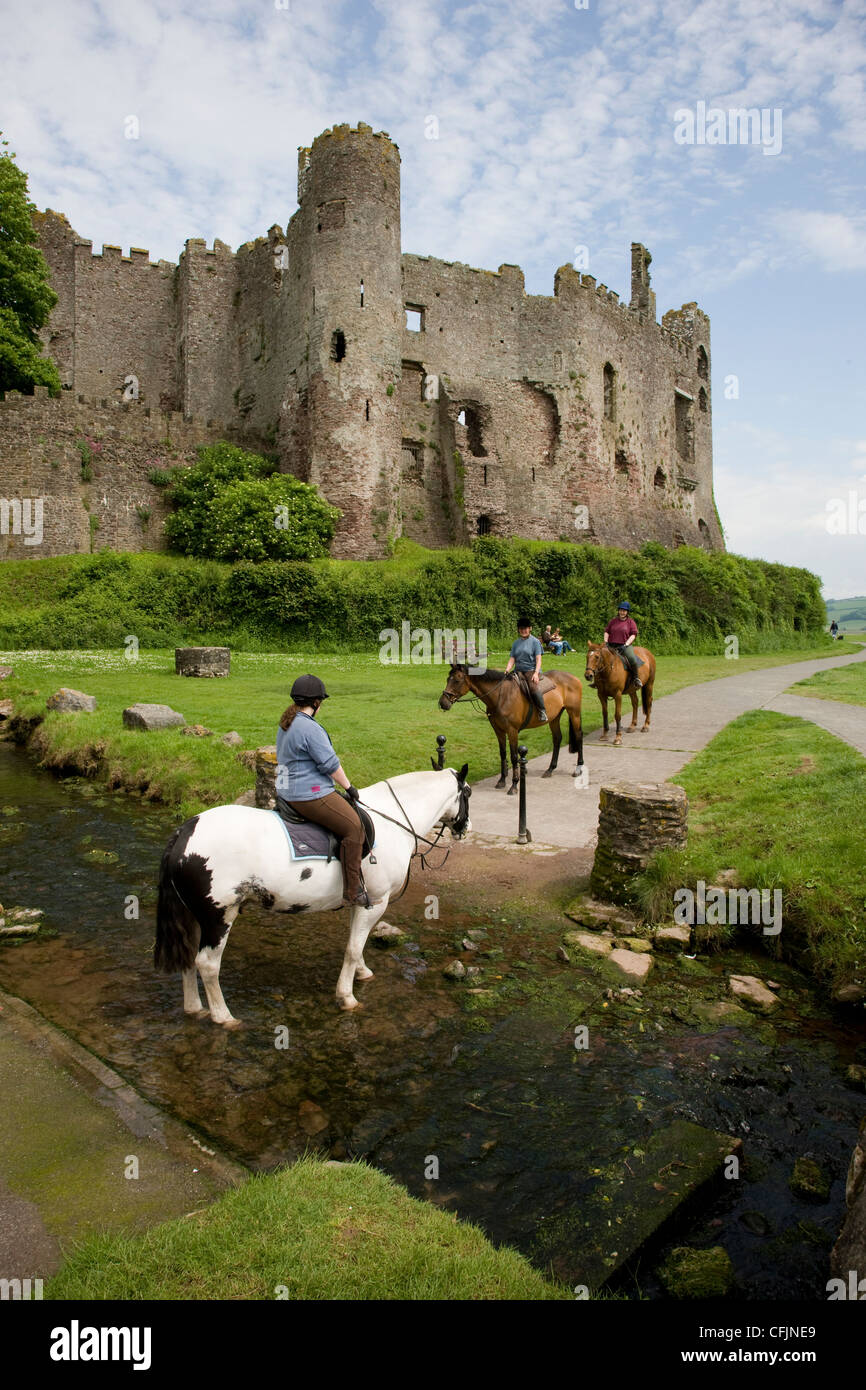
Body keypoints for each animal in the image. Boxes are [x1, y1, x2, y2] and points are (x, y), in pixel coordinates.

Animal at [152, 761, 469, 1023]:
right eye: (467, 793)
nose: (465, 828)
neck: (392, 821)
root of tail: (185, 832)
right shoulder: (376, 902)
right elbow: (353, 948)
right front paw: (346, 996)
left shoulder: (360, 901)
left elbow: (355, 943)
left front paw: (362, 973)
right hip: (219, 916)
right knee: (207, 964)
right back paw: (223, 1016)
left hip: (193, 916)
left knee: (188, 957)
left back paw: (194, 1008)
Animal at [439, 664, 583, 795]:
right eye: (447, 679)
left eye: (457, 680)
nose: (442, 702)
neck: (500, 696)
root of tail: (574, 678)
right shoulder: (499, 730)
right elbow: (503, 754)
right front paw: (502, 780)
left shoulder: (512, 731)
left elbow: (514, 756)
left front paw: (514, 785)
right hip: (554, 717)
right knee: (557, 738)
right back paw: (550, 769)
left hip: (574, 712)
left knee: (578, 736)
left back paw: (579, 768)